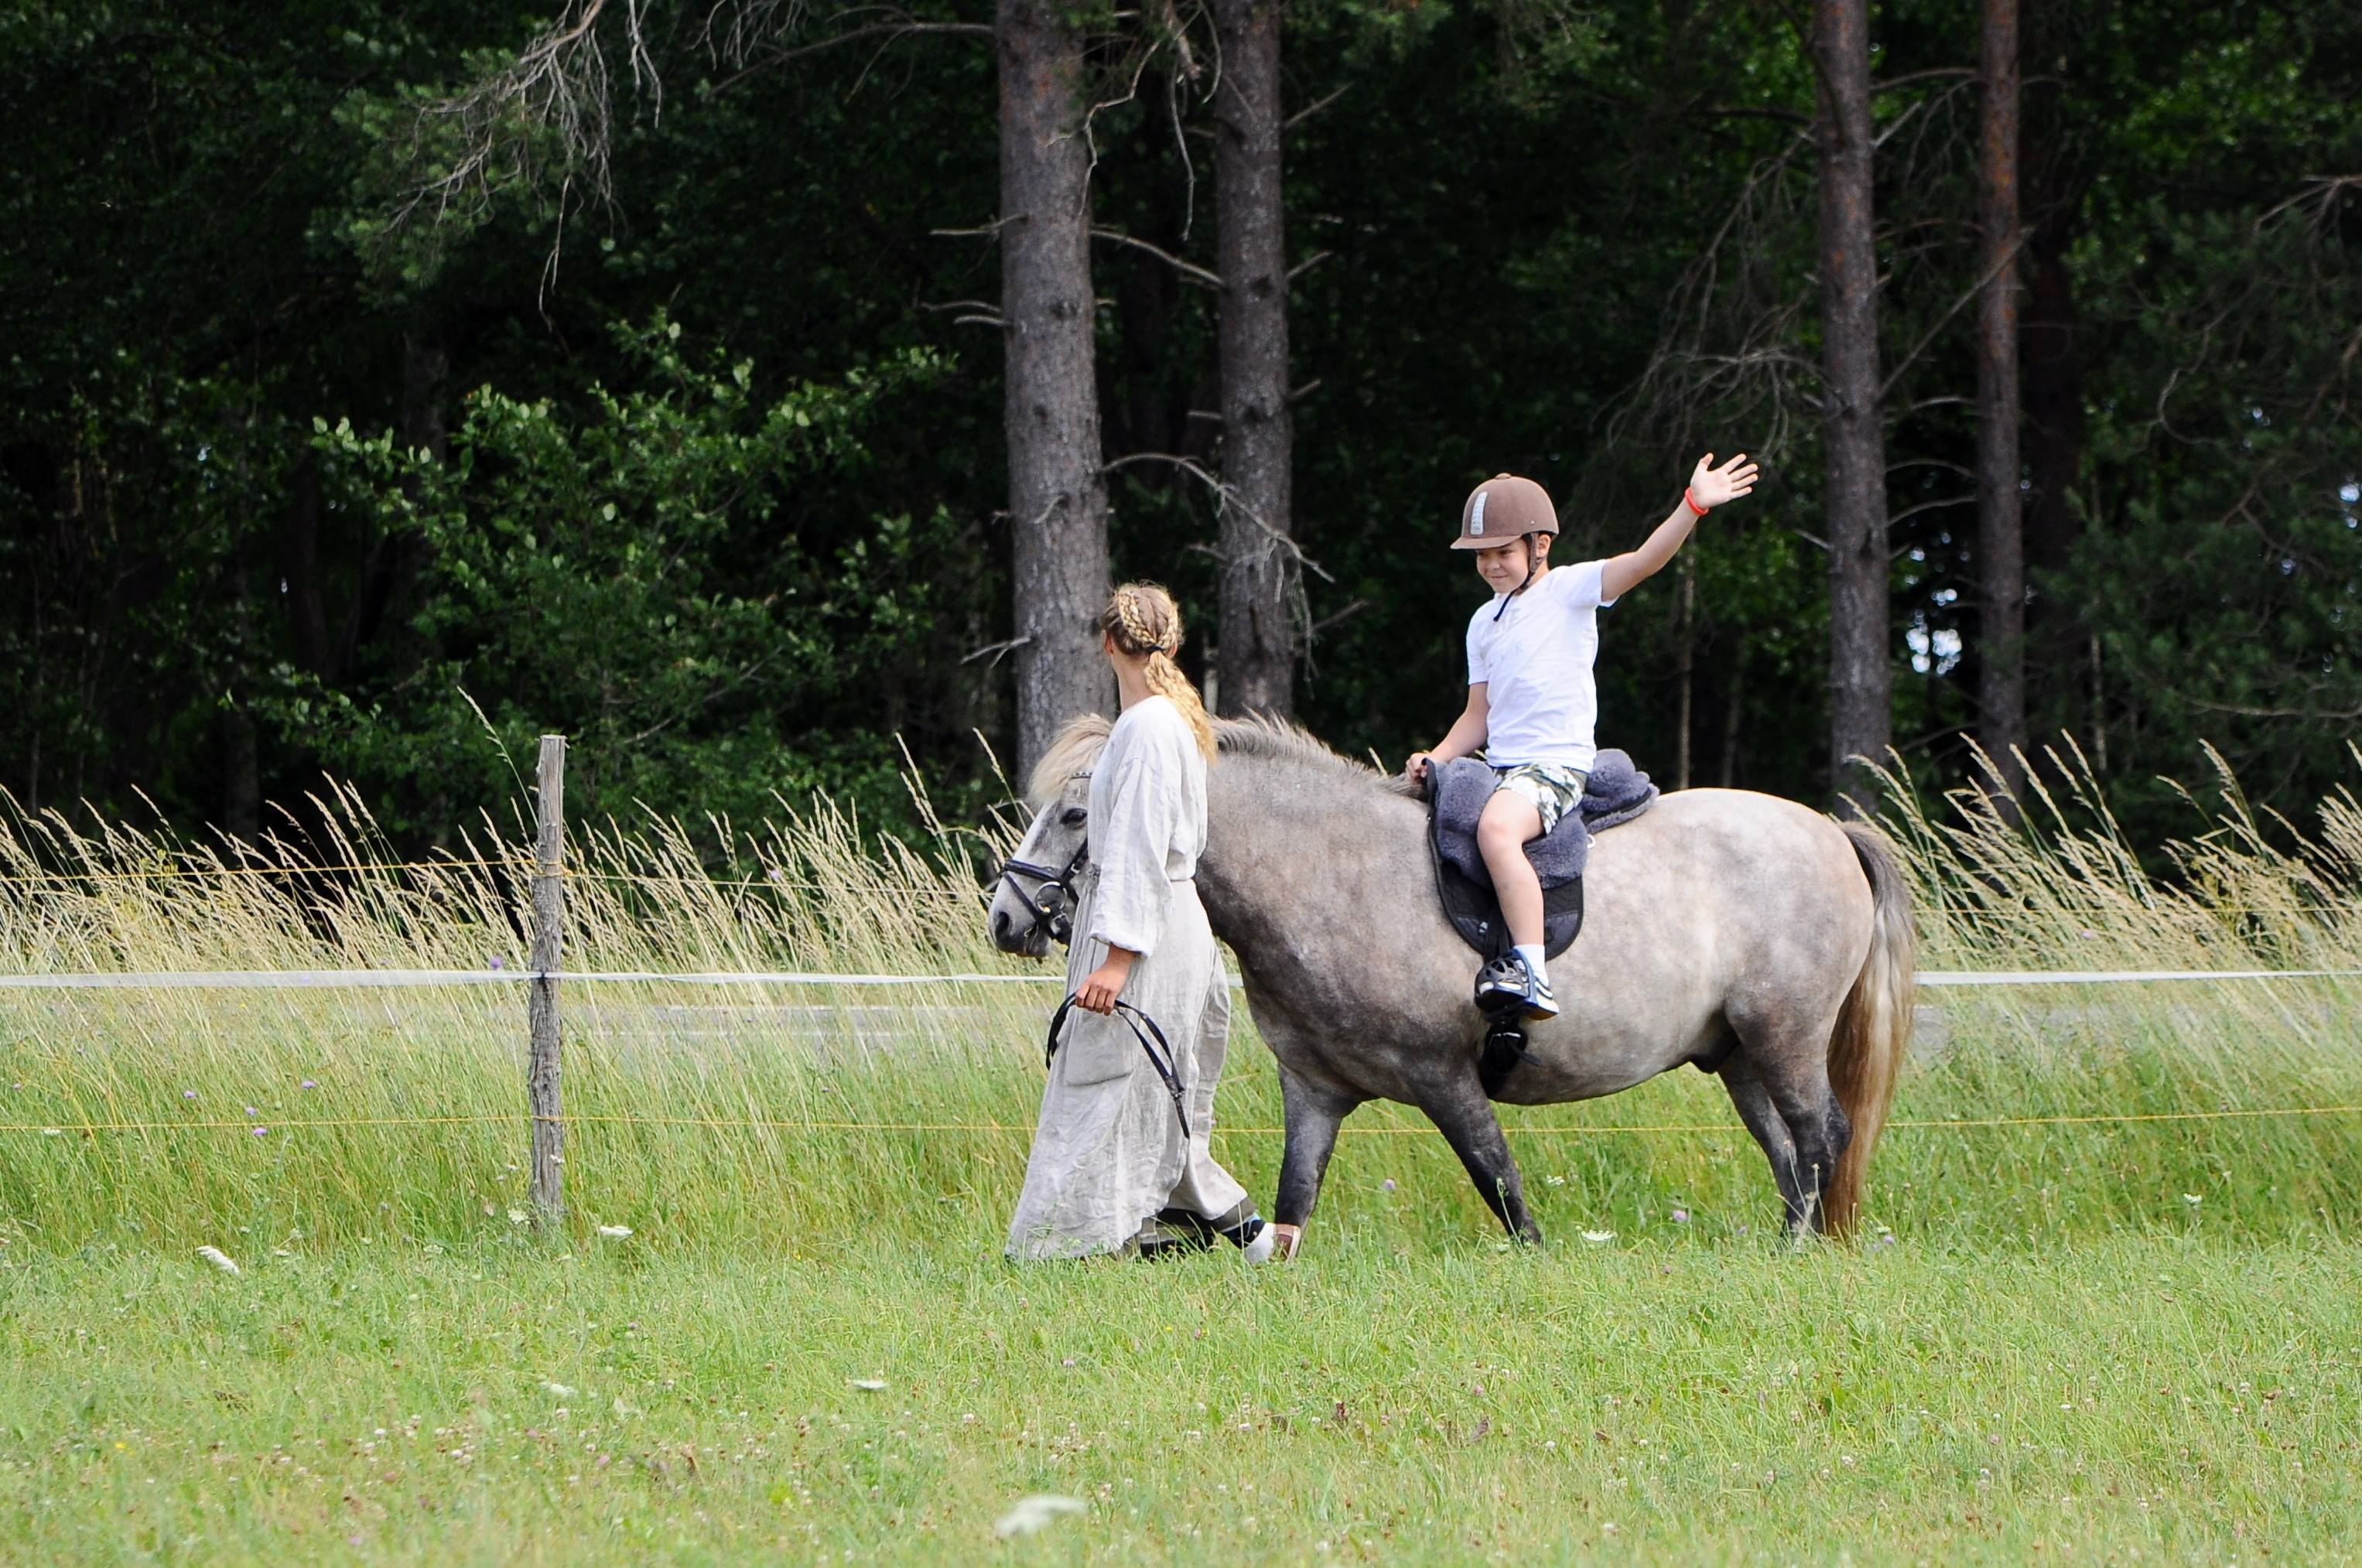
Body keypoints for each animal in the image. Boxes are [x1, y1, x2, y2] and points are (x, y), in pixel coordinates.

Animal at [987, 718, 1908, 1246]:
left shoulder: (1443, 1076)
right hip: (1740, 1056)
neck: (1329, 873)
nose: (1004, 916)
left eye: (1076, 813)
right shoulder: (1314, 1089)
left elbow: (1500, 1185)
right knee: (1787, 1151)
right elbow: (1292, 1200)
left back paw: (1803, 1250)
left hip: (1785, 1037)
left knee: (1821, 1135)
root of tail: (1831, 830)